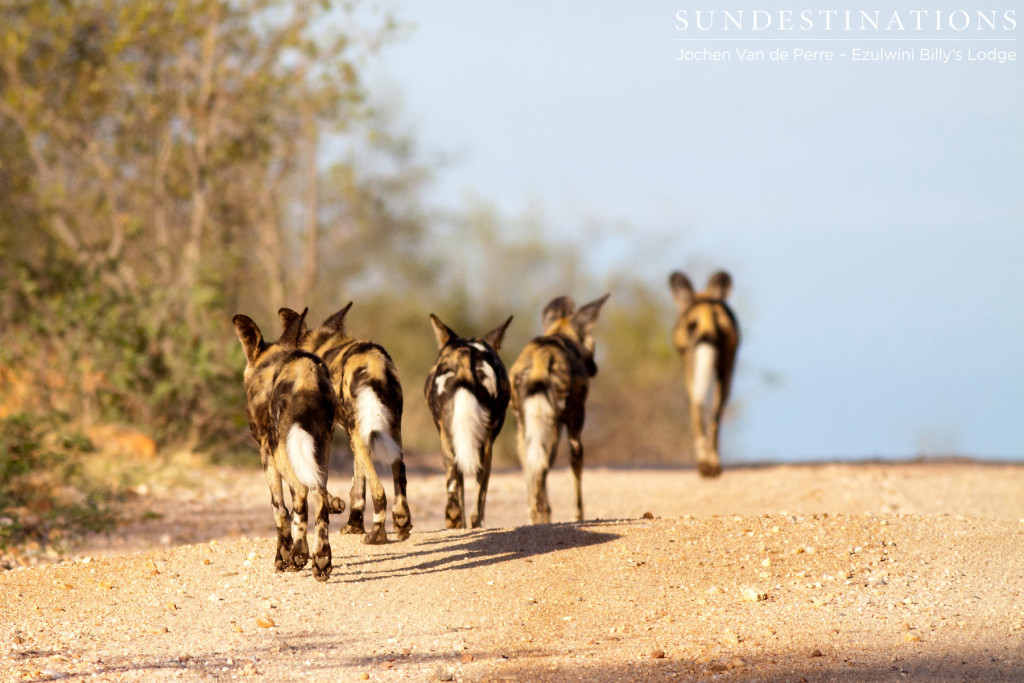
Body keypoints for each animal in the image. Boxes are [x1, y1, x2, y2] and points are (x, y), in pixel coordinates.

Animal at [232, 309, 335, 581]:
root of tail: (305, 371)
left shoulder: (267, 453)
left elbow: (280, 509)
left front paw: (284, 557)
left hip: (281, 449)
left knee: (300, 494)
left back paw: (299, 555)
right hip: (321, 445)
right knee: (320, 495)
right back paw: (321, 560)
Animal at [280, 305, 411, 544]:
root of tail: (374, 363)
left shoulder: (329, 431)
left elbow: (322, 477)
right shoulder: (355, 437)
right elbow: (357, 487)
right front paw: (354, 525)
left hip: (359, 435)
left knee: (379, 490)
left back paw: (377, 534)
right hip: (387, 431)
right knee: (399, 474)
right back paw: (402, 523)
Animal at [509, 292, 606, 524]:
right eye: (593, 342)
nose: (595, 368)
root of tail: (541, 357)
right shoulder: (575, 419)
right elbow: (576, 465)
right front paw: (578, 516)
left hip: (525, 429)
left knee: (530, 469)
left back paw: (535, 516)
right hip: (553, 428)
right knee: (542, 468)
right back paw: (543, 516)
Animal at [667, 270, 741, 479]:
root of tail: (706, 311)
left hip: (694, 369)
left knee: (697, 411)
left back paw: (704, 465)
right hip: (724, 373)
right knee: (714, 417)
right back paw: (712, 465)